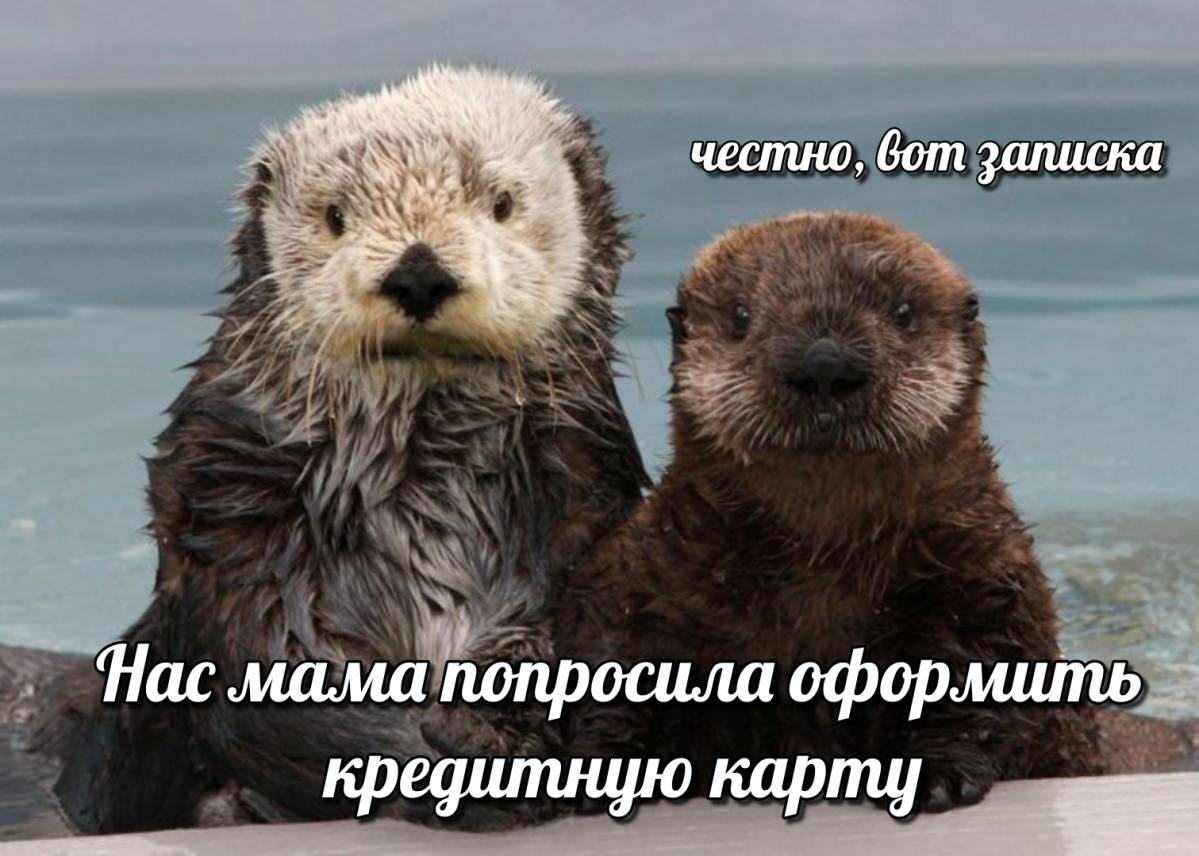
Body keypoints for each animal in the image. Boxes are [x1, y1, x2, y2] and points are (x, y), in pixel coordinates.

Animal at [2, 66, 648, 834]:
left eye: (501, 202)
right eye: (335, 215)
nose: (419, 273)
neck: (425, 472)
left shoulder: (584, 502)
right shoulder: (238, 515)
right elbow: (280, 675)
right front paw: (454, 767)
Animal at [557, 212, 1197, 812]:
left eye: (903, 310)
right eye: (740, 315)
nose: (823, 362)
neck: (822, 564)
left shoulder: (984, 575)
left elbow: (990, 683)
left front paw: (937, 773)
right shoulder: (651, 580)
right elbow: (613, 674)